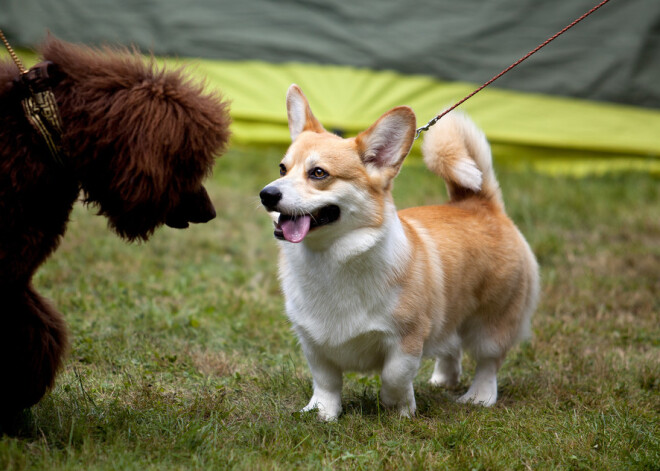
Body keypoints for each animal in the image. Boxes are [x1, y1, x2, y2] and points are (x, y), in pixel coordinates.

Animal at [258, 85, 536, 424]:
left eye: (319, 173)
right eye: (282, 169)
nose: (266, 194)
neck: (332, 258)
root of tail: (481, 204)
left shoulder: (406, 340)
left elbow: (394, 377)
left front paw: (399, 410)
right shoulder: (314, 342)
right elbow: (326, 382)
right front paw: (323, 413)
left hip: (493, 321)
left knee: (488, 362)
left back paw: (478, 397)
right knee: (451, 344)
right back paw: (444, 379)